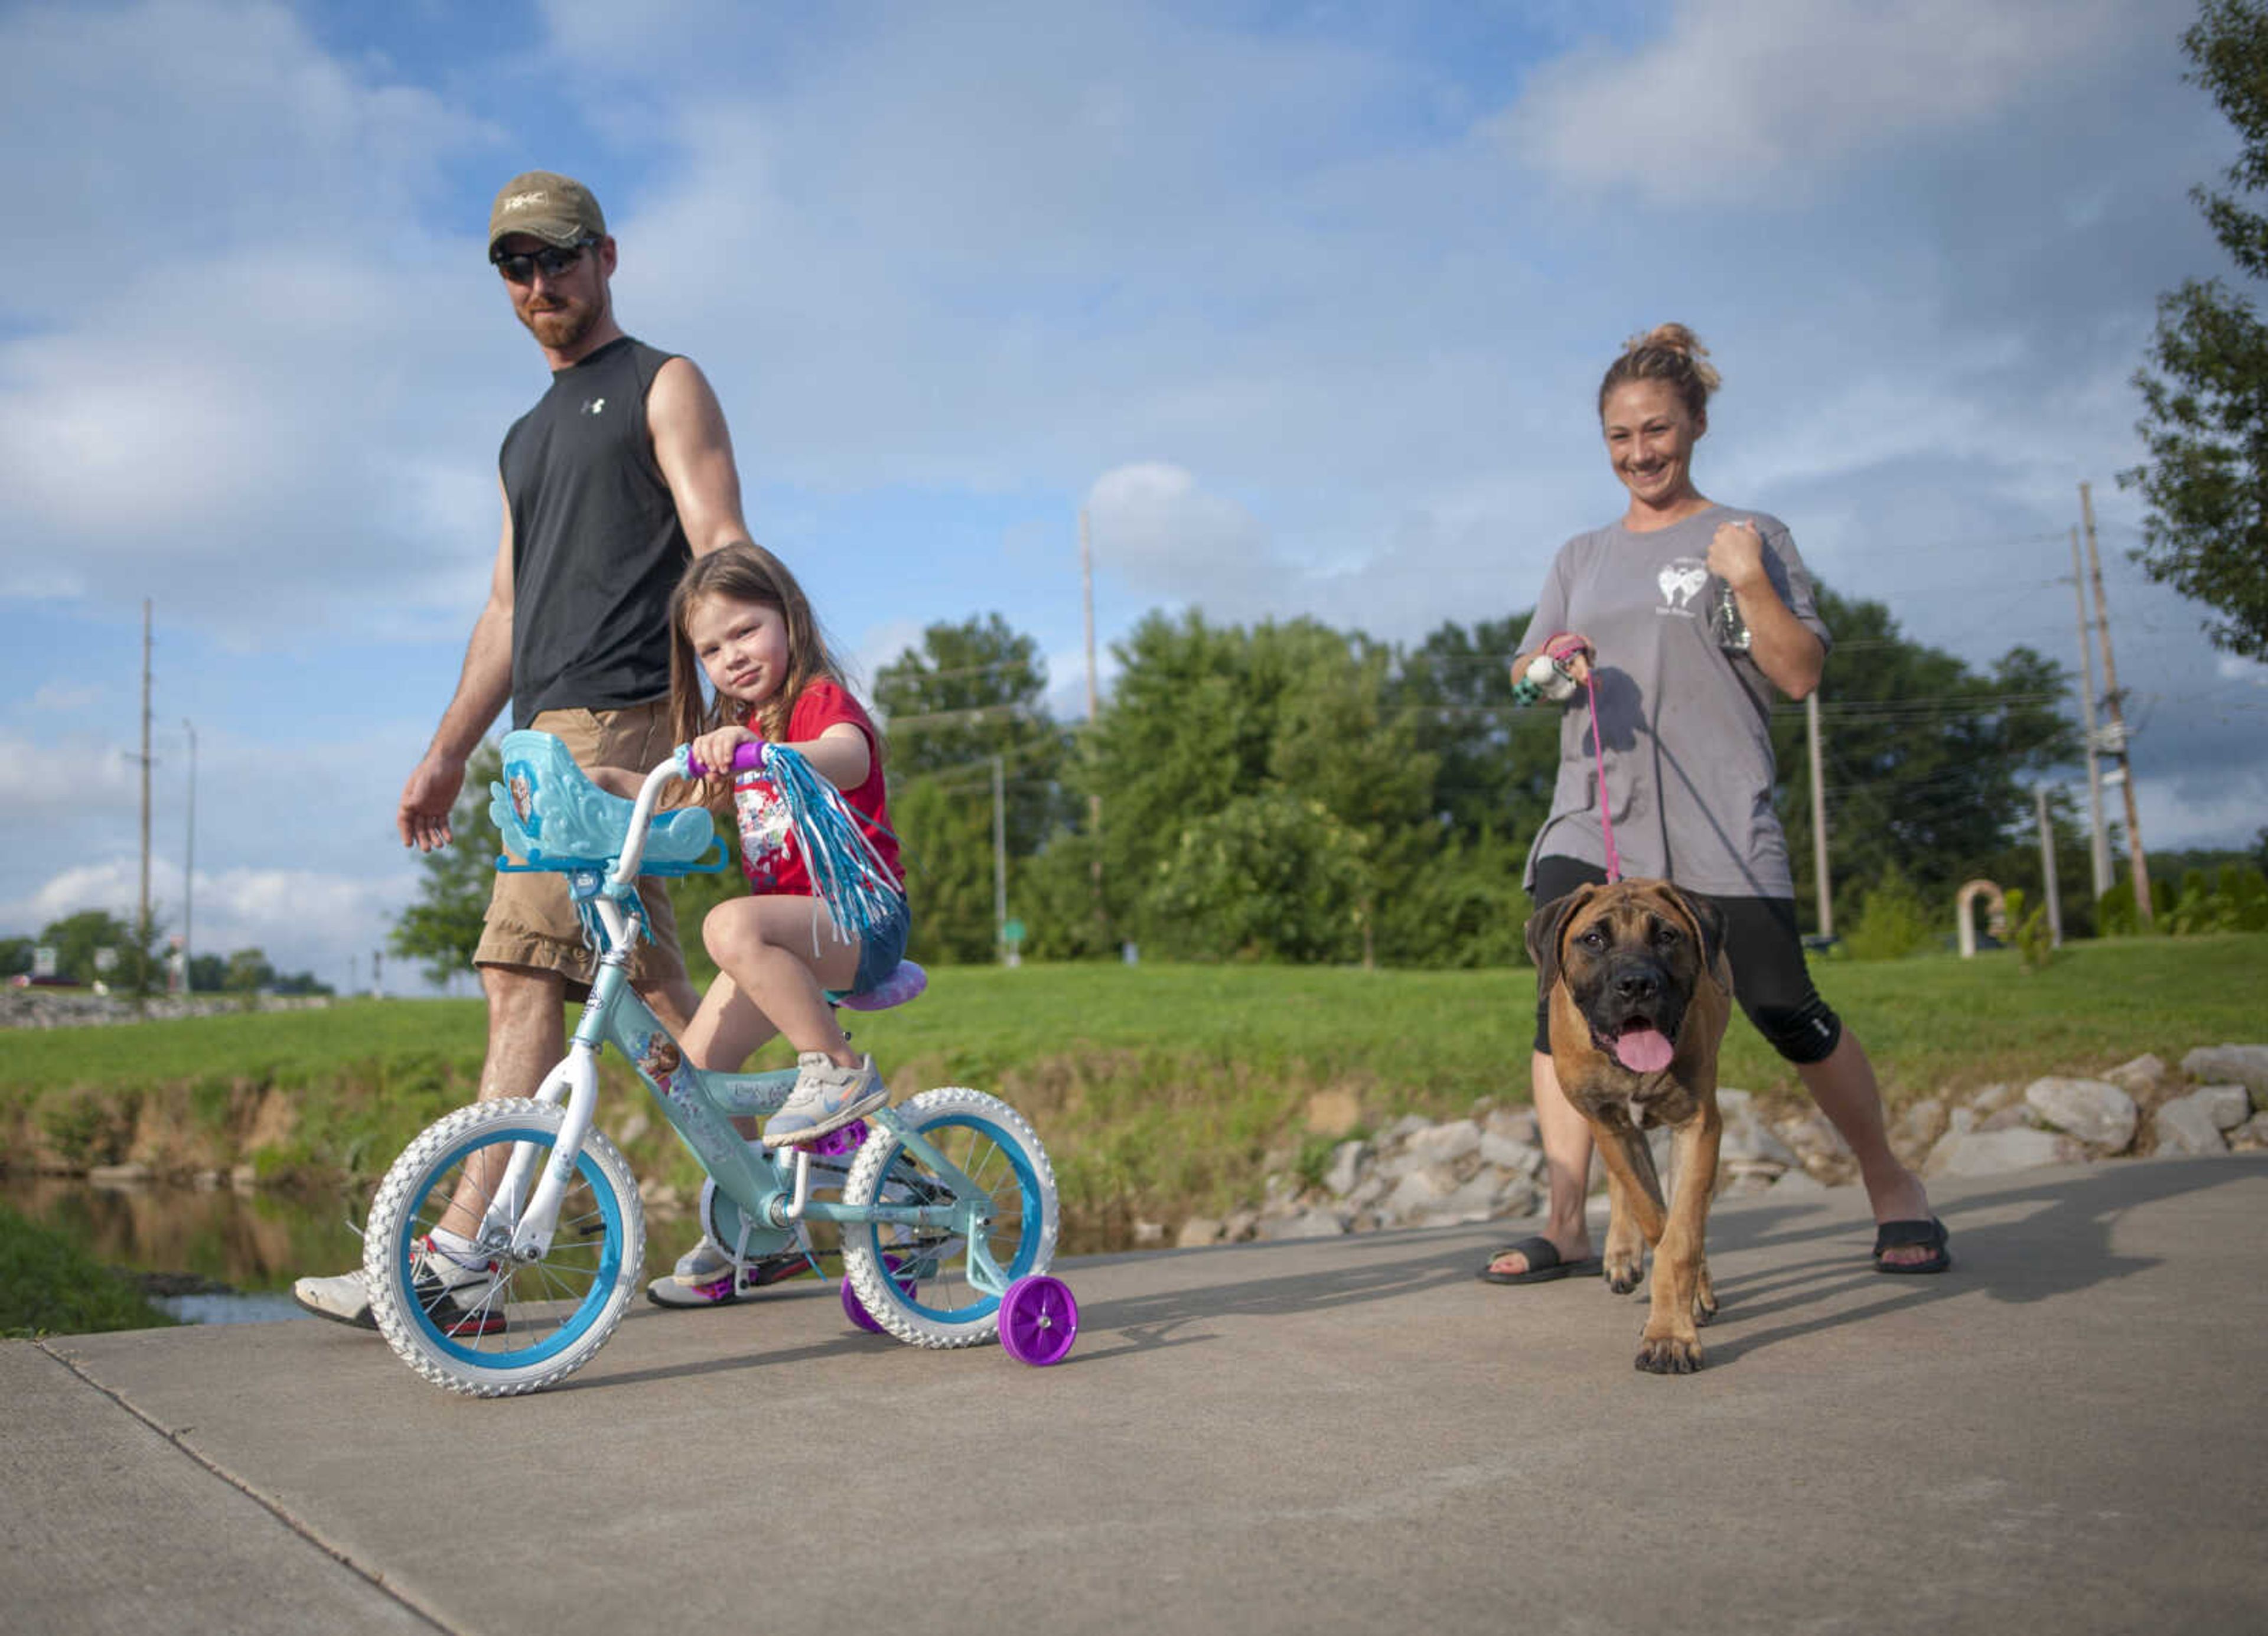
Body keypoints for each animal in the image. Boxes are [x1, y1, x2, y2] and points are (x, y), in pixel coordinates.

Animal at [1533, 875, 1723, 1370]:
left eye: (1668, 936)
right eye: (1593, 940)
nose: (1636, 983)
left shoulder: (1699, 1124)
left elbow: (1682, 1232)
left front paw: (1671, 1335)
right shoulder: (1607, 1121)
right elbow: (1655, 1217)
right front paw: (1683, 1307)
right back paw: (1622, 1251)